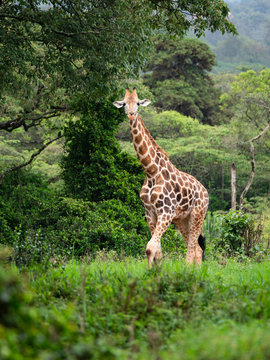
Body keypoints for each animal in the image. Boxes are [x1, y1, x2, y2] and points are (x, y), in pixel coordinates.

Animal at [113, 88, 209, 266]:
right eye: (123, 104)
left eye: (138, 103)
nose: (131, 115)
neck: (151, 171)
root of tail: (205, 191)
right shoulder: (150, 213)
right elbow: (155, 250)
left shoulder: (166, 212)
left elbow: (150, 247)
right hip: (181, 219)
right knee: (197, 248)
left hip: (197, 215)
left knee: (193, 248)